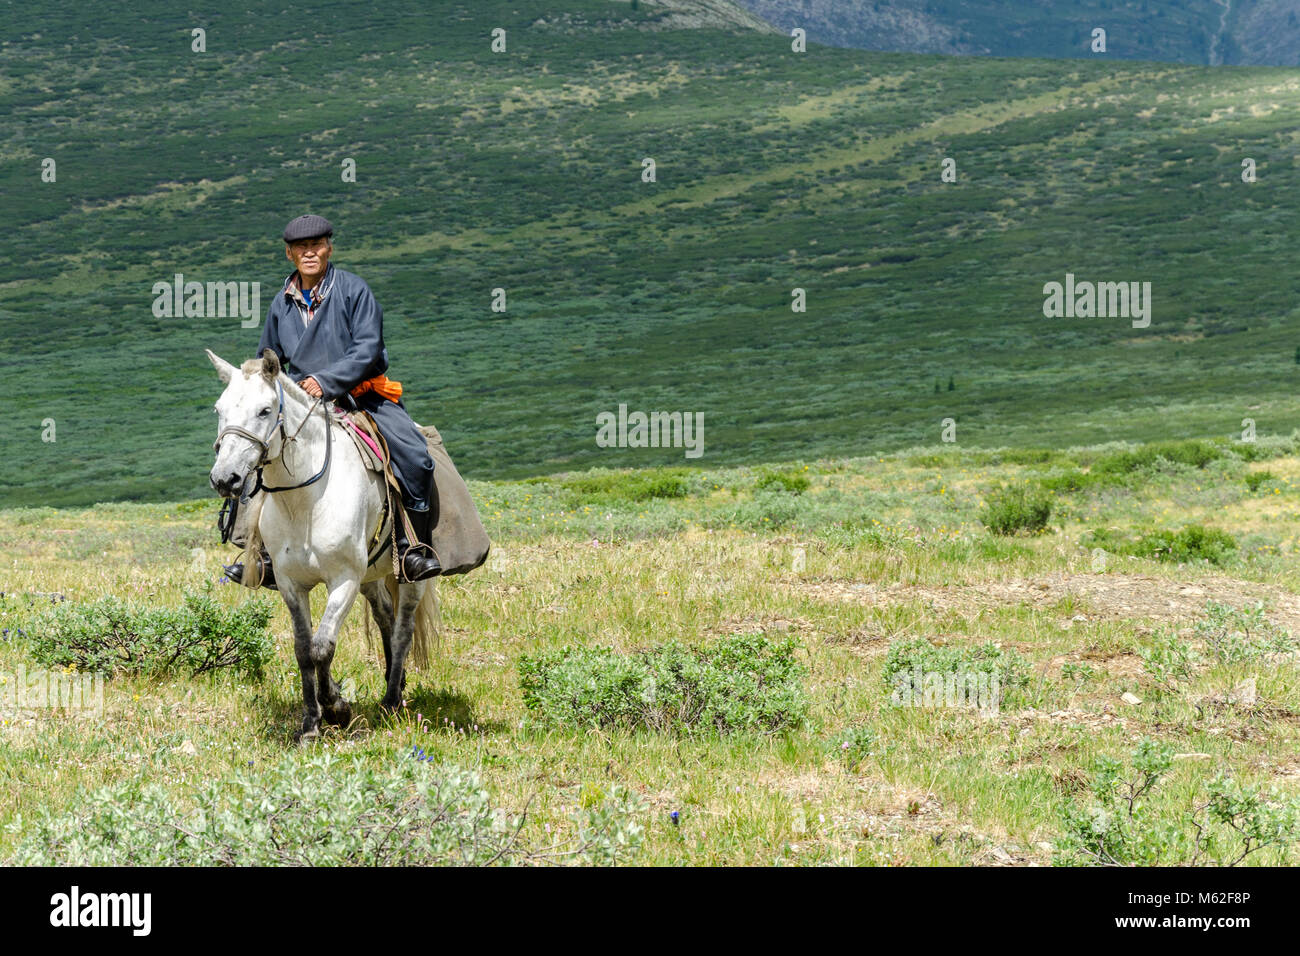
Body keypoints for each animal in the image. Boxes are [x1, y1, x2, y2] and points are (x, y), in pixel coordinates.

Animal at [206, 348, 436, 743]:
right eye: (220, 409)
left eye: (265, 410)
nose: (225, 478)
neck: (305, 502)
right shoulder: (291, 583)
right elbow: (304, 649)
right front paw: (311, 723)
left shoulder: (343, 581)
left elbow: (323, 646)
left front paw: (337, 709)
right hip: (371, 576)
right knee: (384, 616)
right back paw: (396, 680)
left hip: (409, 578)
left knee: (403, 629)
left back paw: (391, 700)